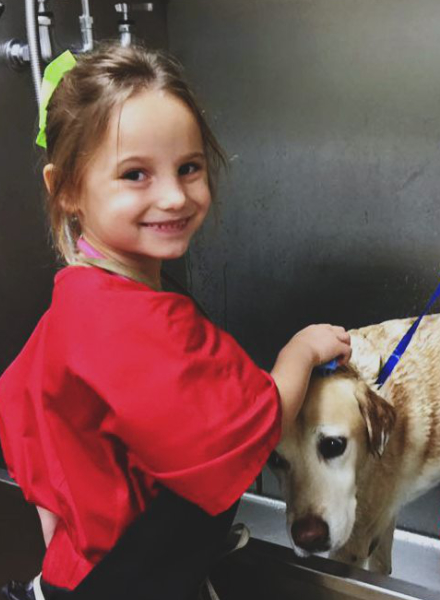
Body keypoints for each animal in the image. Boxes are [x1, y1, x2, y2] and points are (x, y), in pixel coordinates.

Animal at [270, 314, 440, 572]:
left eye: (333, 445)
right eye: (275, 460)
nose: (308, 538)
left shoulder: (354, 542)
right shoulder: (384, 517)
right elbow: (382, 565)